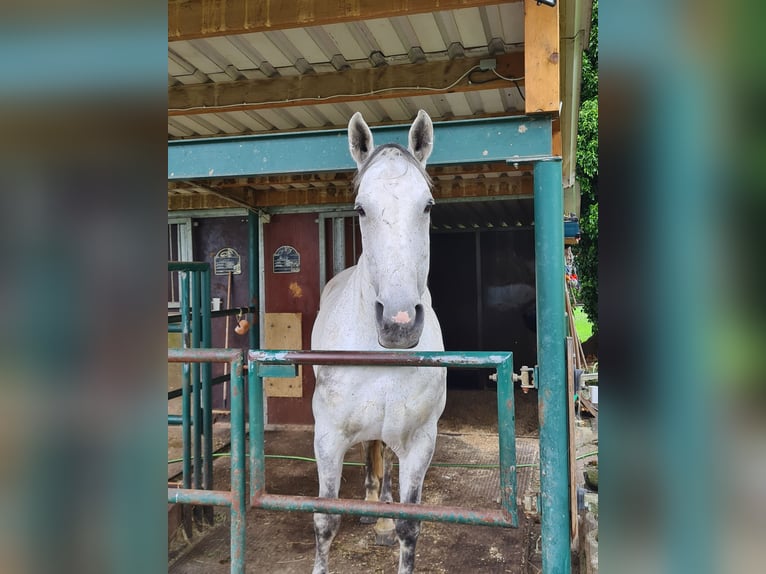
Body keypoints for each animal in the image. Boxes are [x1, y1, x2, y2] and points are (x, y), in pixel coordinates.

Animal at [308, 109, 448, 574]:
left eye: (427, 205)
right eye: (360, 209)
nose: (399, 322)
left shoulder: (420, 441)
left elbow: (410, 526)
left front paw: (391, 522)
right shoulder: (327, 437)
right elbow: (325, 519)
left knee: (382, 453)